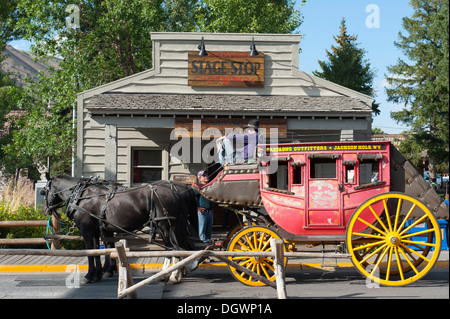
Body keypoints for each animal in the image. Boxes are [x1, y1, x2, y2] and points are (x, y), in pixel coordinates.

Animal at [41, 176, 195, 284]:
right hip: (171, 226)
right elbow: (98, 251)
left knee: (172, 249)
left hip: (164, 226)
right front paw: (98, 274)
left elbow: (91, 252)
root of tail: (176, 194)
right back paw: (175, 274)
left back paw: (170, 275)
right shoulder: (96, 231)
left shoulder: (87, 231)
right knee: (178, 248)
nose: (44, 208)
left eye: (44, 191)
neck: (81, 197)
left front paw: (89, 276)